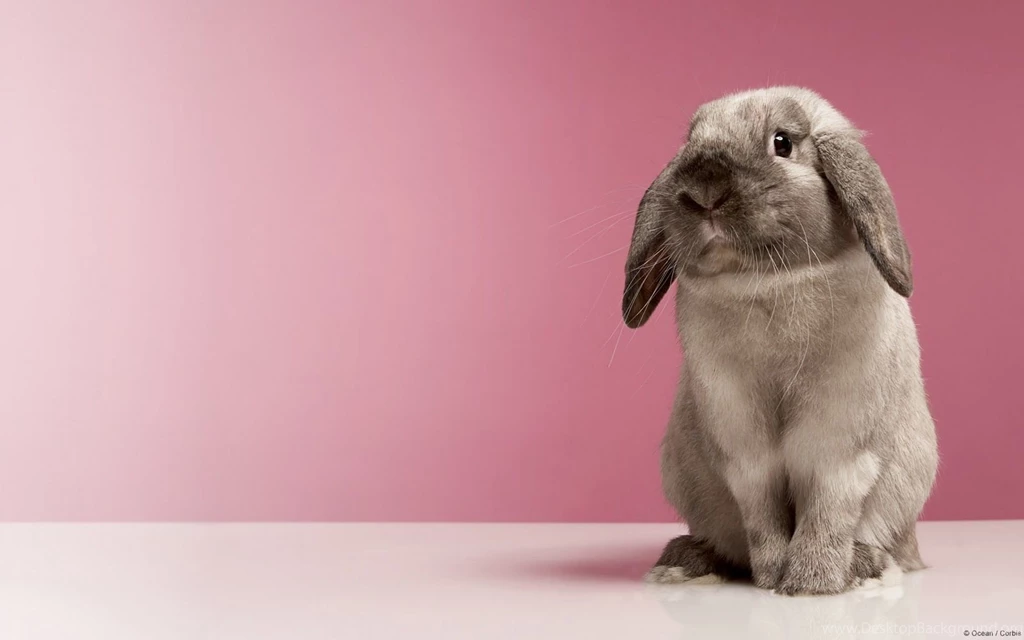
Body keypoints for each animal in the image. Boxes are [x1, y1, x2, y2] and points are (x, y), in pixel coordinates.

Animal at [623, 87, 937, 595]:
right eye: (691, 141)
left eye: (783, 142)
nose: (704, 190)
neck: (767, 283)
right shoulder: (743, 448)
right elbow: (762, 512)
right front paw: (771, 576)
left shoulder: (839, 443)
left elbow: (827, 508)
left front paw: (813, 583)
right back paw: (684, 562)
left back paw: (864, 566)